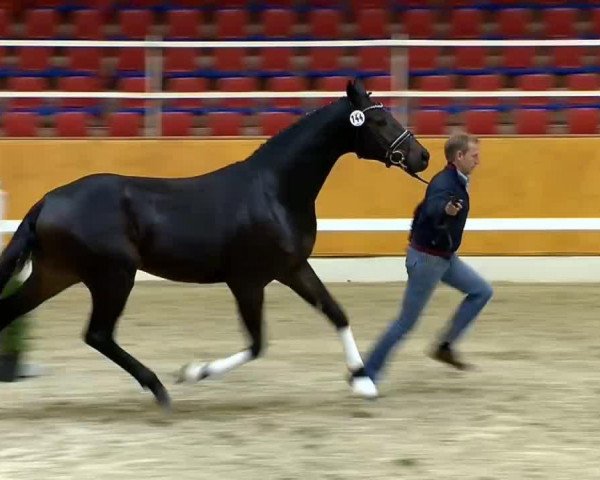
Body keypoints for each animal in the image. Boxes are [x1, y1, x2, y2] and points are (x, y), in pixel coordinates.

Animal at [0, 79, 432, 408]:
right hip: (113, 277)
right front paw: (193, 372)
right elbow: (257, 344)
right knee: (98, 334)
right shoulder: (247, 281)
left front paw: (363, 381)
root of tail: (47, 201)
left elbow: (336, 313)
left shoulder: (292, 269)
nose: (423, 156)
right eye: (379, 119)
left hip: (56, 274)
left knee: (15, 314)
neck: (274, 190)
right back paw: (159, 388)